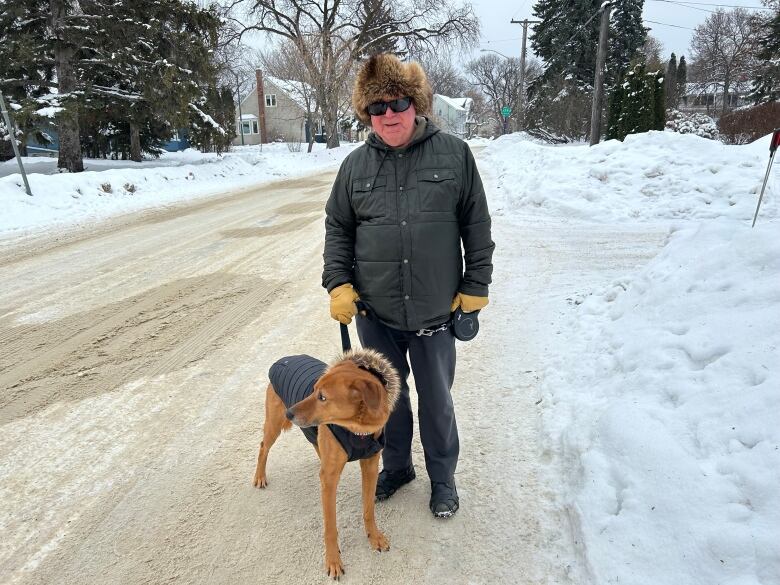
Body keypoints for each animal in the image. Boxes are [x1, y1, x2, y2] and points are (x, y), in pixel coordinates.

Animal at [254, 350, 402, 576]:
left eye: (322, 397)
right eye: (313, 390)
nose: (289, 413)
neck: (358, 430)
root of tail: (285, 358)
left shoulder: (370, 466)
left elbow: (368, 509)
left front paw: (374, 537)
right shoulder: (330, 479)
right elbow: (330, 527)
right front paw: (333, 560)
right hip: (274, 424)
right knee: (263, 446)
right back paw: (260, 476)